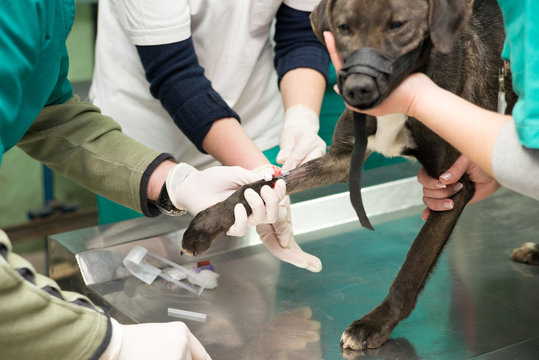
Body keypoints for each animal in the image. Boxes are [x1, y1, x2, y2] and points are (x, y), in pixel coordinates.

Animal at [180, 0, 520, 350]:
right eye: (344, 28)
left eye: (398, 25)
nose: (358, 88)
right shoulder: (342, 159)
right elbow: (264, 185)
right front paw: (207, 222)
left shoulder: (454, 183)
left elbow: (412, 266)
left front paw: (375, 323)